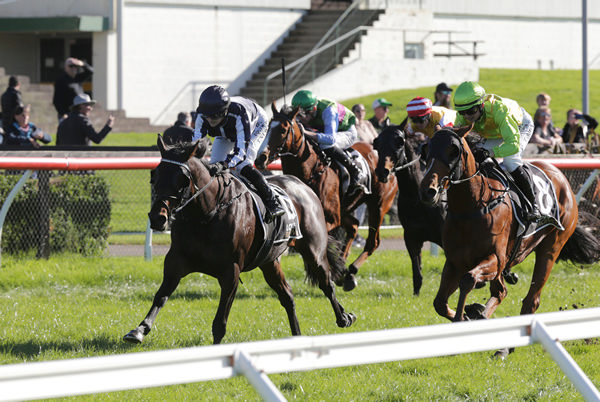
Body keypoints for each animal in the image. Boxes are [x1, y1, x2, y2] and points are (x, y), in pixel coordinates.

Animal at [123, 135, 354, 346]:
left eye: (182, 179)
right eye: (155, 174)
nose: (157, 218)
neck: (205, 215)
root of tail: (303, 186)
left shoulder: (231, 271)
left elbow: (220, 322)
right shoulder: (176, 261)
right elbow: (161, 295)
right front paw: (139, 330)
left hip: (313, 250)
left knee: (327, 283)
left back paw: (344, 317)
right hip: (270, 262)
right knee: (287, 296)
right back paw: (297, 336)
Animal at [256, 103, 398, 286]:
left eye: (283, 129)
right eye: (268, 128)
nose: (261, 158)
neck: (311, 171)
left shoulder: (330, 218)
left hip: (378, 206)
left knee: (372, 242)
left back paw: (350, 271)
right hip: (346, 209)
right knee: (353, 226)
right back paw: (343, 270)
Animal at [418, 125, 600, 354]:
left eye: (453, 151)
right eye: (426, 150)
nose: (428, 191)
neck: (471, 208)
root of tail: (560, 176)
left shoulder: (495, 259)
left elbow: (468, 280)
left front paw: (464, 318)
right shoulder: (454, 262)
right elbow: (440, 303)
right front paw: (469, 315)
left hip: (551, 248)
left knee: (530, 300)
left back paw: (504, 348)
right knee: (501, 290)